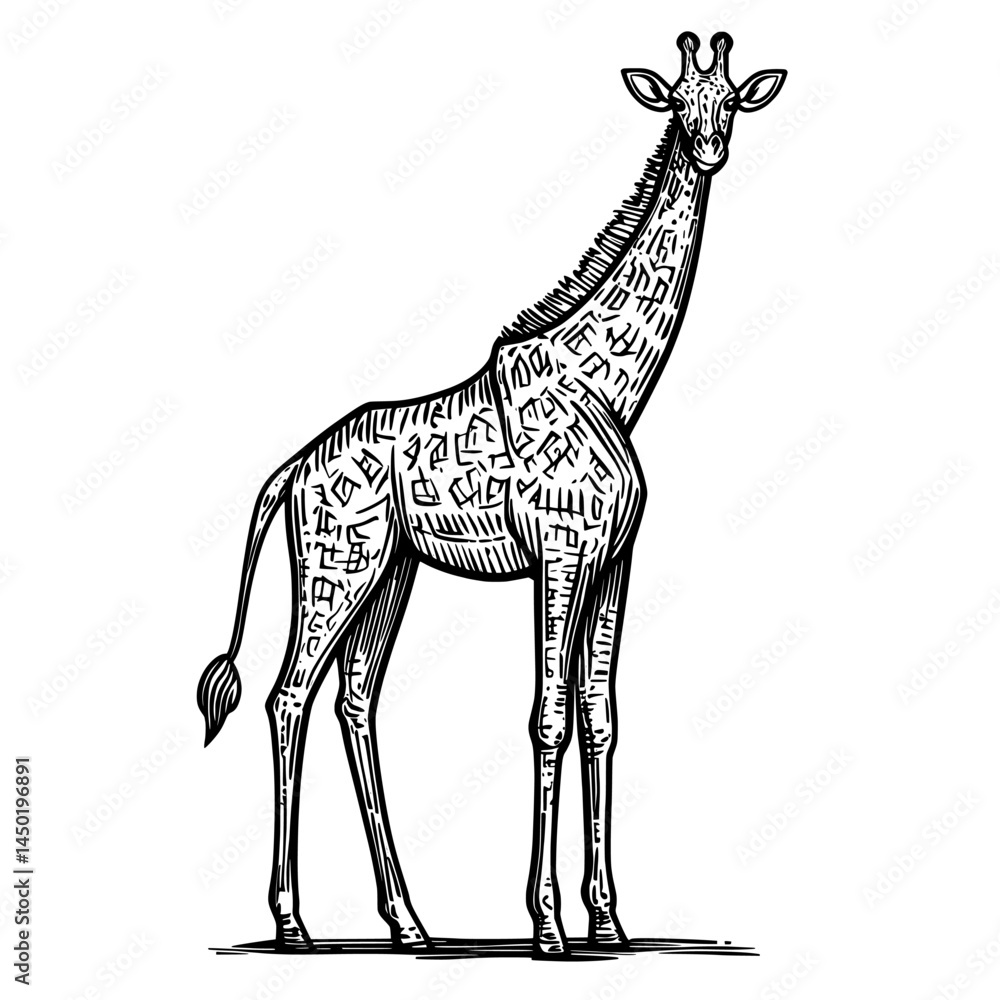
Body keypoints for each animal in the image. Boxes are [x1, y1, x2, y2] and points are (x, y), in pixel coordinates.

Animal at [197, 31, 786, 958]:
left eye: (729, 100)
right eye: (678, 102)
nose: (711, 149)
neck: (610, 387)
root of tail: (290, 471)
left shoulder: (613, 562)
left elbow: (600, 716)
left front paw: (608, 920)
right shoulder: (561, 552)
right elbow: (548, 717)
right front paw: (547, 926)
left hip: (390, 571)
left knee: (355, 698)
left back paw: (409, 923)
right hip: (336, 566)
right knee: (288, 695)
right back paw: (292, 923)